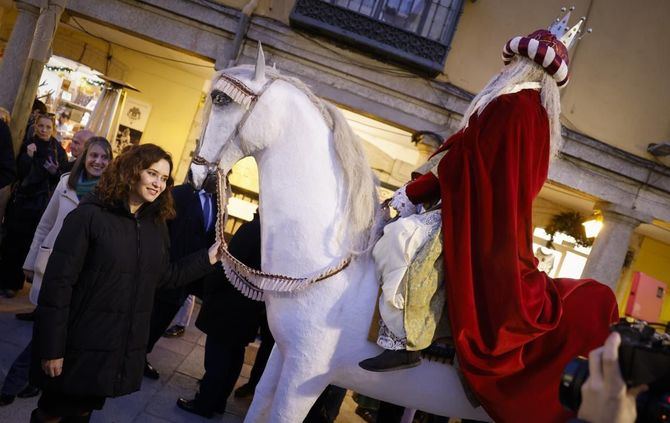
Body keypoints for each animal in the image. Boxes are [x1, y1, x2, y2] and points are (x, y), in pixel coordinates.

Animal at [189, 46, 494, 423]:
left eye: (220, 99)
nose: (195, 172)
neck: (334, 268)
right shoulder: (284, 356)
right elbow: (260, 402)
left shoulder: (305, 376)